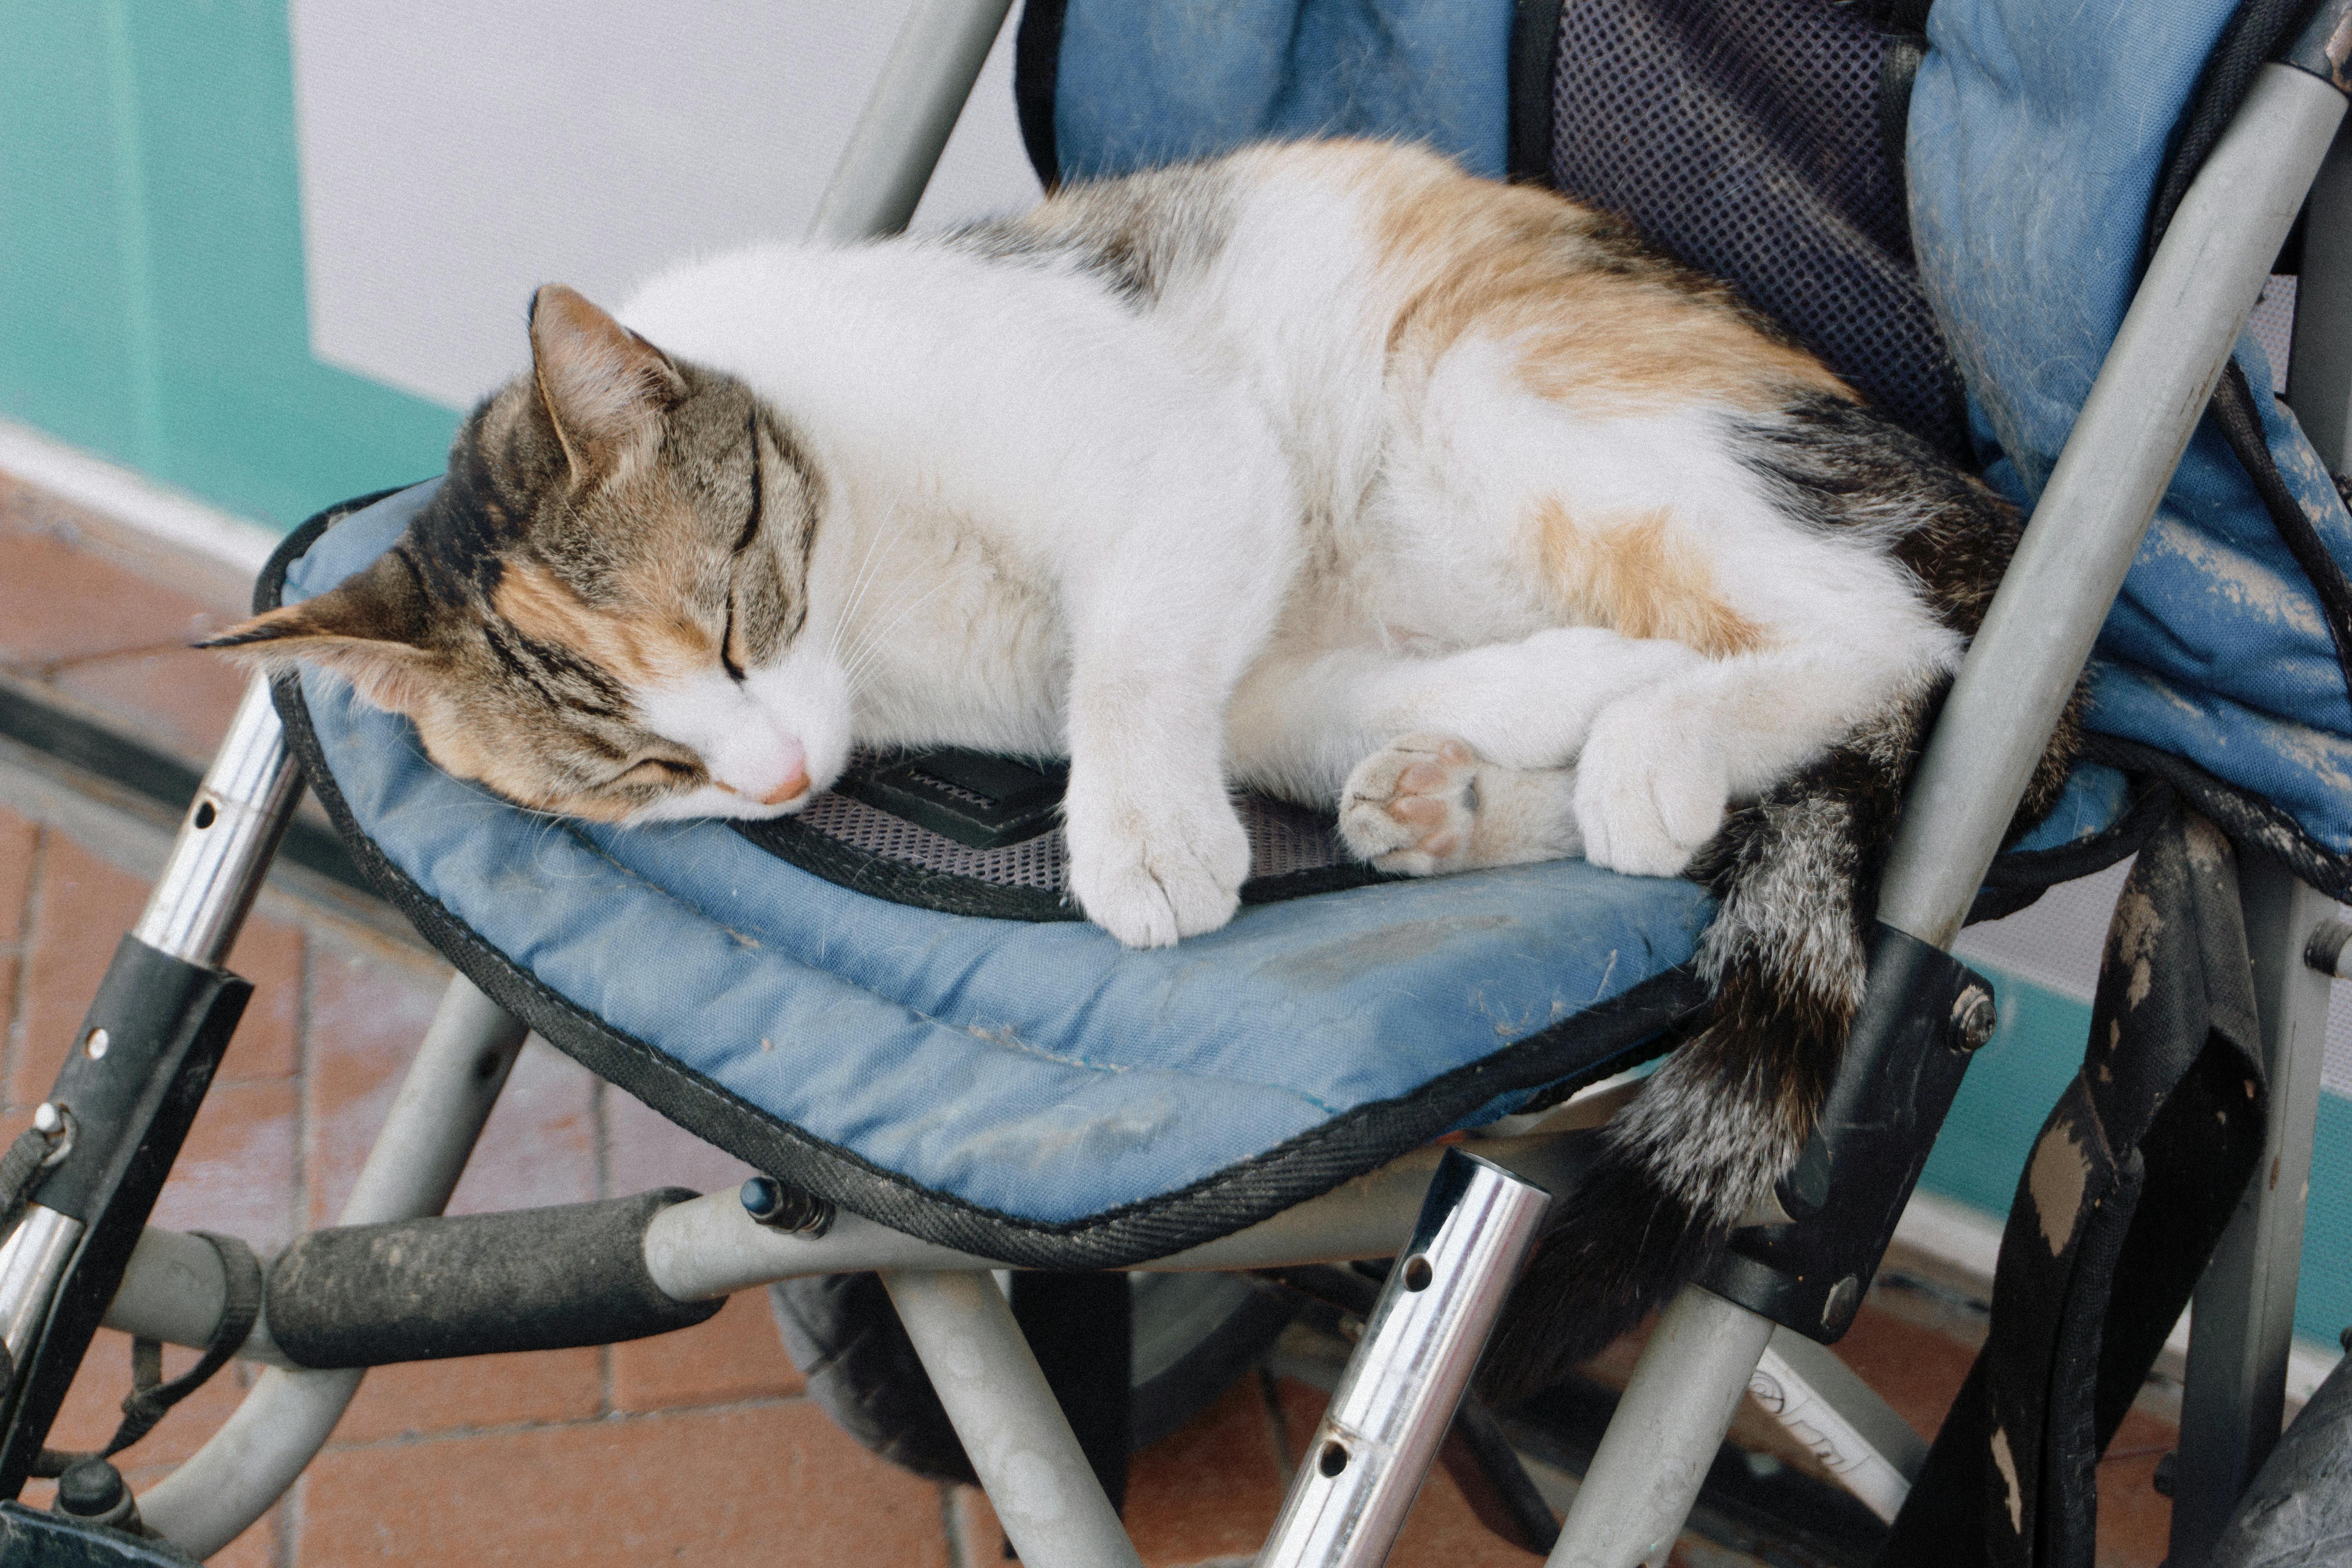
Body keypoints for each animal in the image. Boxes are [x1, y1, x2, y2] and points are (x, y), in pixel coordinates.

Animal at [207, 141, 2079, 1392]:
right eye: (640, 771)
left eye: (733, 623)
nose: (776, 776)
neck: (872, 590)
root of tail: (1965, 496)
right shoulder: (1258, 646)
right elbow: (1290, 691)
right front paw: (1532, 701)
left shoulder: (1176, 459)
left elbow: (1136, 654)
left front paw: (1145, 842)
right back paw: (1470, 795)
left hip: (1517, 395)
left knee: (1887, 639)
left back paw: (1661, 743)